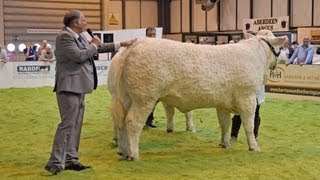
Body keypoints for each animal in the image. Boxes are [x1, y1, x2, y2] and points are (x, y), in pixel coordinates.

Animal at [107, 29, 284, 160]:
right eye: (281, 47)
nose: (286, 57)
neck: (256, 57)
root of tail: (136, 43)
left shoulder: (222, 103)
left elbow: (225, 124)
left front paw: (225, 144)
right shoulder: (247, 98)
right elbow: (249, 125)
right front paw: (254, 147)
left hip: (125, 98)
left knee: (120, 122)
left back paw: (123, 151)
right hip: (144, 98)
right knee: (132, 122)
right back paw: (134, 155)